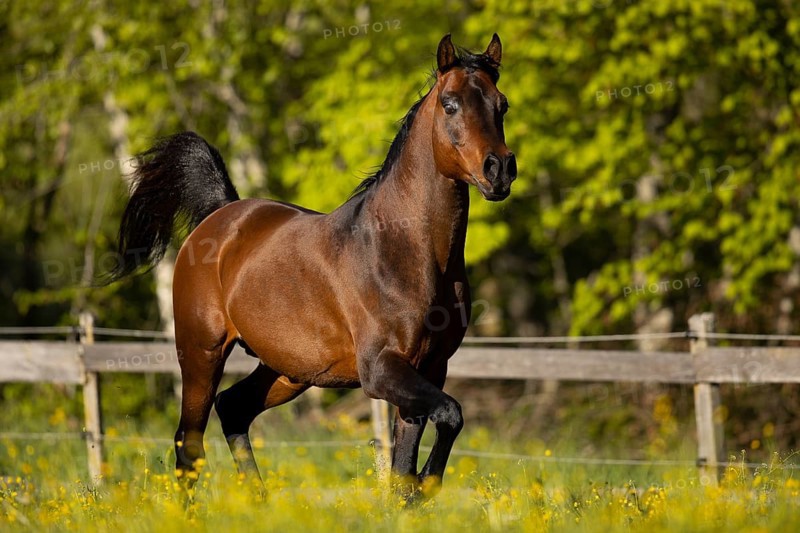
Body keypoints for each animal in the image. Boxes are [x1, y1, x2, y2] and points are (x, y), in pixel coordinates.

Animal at [109, 33, 516, 497]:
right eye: (450, 104)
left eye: (502, 104)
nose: (499, 170)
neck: (406, 253)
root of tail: (222, 214)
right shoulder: (382, 369)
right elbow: (450, 415)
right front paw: (427, 488)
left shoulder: (430, 368)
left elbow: (404, 469)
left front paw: (415, 496)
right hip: (201, 354)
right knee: (188, 444)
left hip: (289, 370)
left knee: (232, 408)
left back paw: (260, 502)